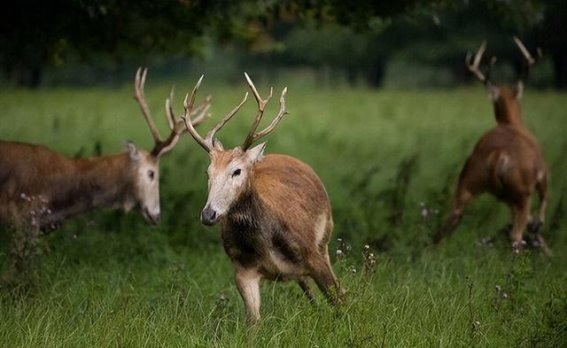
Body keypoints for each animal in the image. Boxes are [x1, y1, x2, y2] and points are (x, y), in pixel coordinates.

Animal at [183, 73, 342, 324]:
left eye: (237, 171)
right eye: (208, 173)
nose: (208, 214)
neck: (266, 242)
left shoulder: (312, 253)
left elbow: (340, 301)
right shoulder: (242, 269)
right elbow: (253, 322)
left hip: (324, 239)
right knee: (308, 289)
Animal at [434, 38, 552, 256]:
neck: (511, 122)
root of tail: (499, 155)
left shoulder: (506, 196)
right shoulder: (544, 177)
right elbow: (541, 210)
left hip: (469, 180)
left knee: (450, 221)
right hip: (524, 191)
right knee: (516, 235)